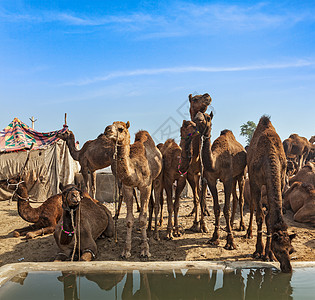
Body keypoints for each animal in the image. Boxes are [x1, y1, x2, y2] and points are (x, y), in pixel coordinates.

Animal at [104, 120, 163, 258]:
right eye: (110, 125)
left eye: (120, 129)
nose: (107, 130)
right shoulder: (128, 187)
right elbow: (129, 220)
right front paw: (126, 250)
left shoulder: (146, 186)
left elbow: (142, 218)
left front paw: (145, 250)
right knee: (151, 205)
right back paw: (148, 231)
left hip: (157, 179)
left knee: (156, 205)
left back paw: (155, 235)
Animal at [194, 111, 248, 250]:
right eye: (195, 118)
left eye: (208, 117)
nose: (198, 118)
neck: (215, 162)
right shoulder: (212, 180)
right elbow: (217, 208)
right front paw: (214, 237)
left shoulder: (227, 179)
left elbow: (226, 209)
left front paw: (230, 242)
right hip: (233, 178)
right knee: (235, 199)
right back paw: (231, 225)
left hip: (241, 175)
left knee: (241, 199)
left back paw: (242, 226)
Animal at [249, 116, 296, 274]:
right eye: (279, 250)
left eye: (291, 250)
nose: (288, 269)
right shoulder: (256, 183)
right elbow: (259, 216)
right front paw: (258, 252)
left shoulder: (280, 181)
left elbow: (269, 218)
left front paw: (268, 255)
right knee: (252, 207)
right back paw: (248, 233)